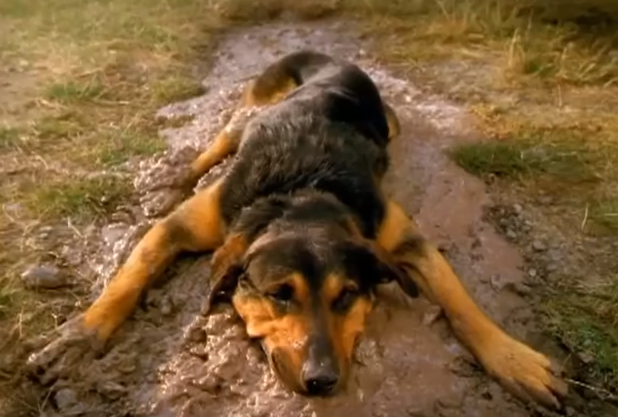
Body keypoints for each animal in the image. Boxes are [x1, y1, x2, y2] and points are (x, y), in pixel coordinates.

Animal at [28, 50, 568, 408]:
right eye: (279, 295)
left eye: (346, 296)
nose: (322, 380)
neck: (303, 193)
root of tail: (327, 58)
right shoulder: (189, 224)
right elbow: (131, 274)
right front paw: (82, 335)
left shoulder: (401, 238)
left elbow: (461, 302)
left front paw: (512, 358)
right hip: (247, 112)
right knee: (215, 145)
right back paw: (176, 180)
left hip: (386, 122)